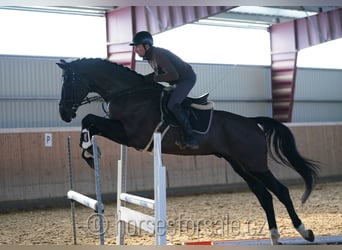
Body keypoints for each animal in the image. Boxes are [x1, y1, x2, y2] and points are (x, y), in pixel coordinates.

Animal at [57, 57, 320, 243]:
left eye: (69, 82)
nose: (64, 113)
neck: (129, 93)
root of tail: (251, 122)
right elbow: (90, 122)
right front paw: (89, 151)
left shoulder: (132, 136)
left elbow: (90, 119)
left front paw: (89, 152)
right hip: (240, 165)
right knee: (264, 195)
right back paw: (275, 236)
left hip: (255, 164)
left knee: (281, 191)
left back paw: (305, 232)